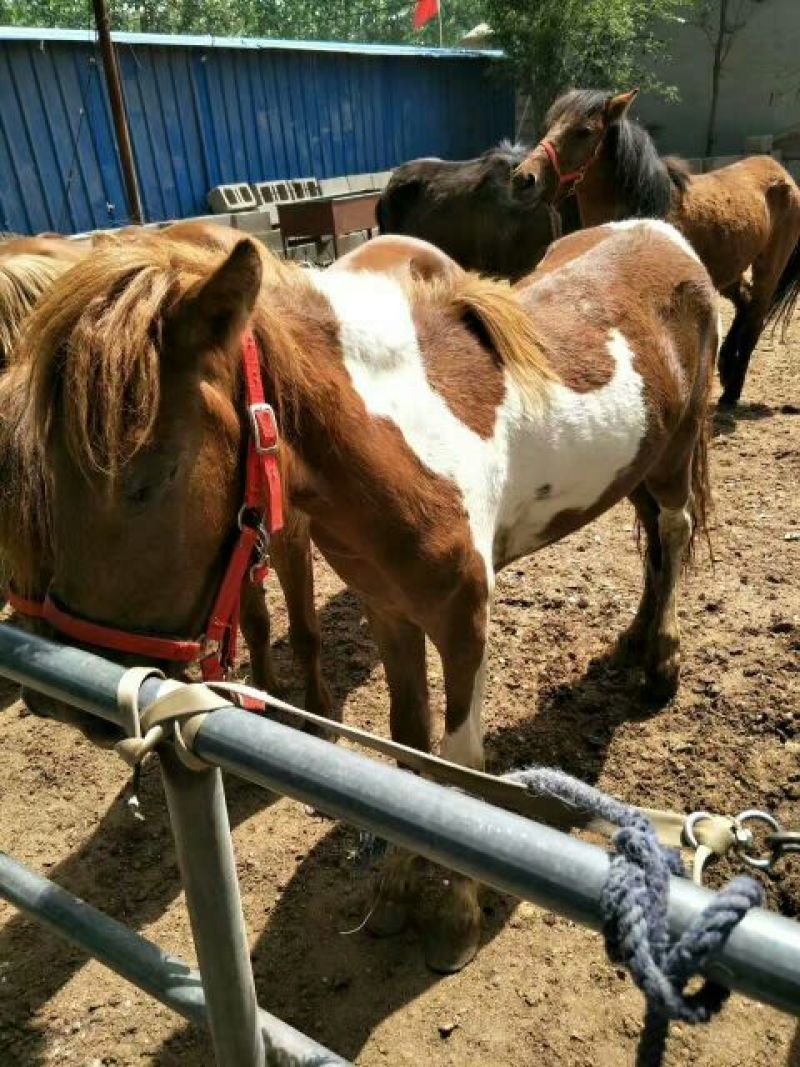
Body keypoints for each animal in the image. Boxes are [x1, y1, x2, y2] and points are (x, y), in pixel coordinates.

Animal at [14, 219, 717, 973]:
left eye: (152, 475)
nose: (64, 696)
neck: (397, 440)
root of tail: (664, 231)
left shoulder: (465, 622)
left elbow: (461, 763)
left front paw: (457, 915)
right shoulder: (390, 611)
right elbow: (411, 752)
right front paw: (398, 889)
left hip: (675, 452)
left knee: (672, 531)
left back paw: (661, 663)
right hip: (640, 462)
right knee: (651, 536)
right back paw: (635, 639)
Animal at [513, 88, 800, 406]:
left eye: (584, 131)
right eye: (549, 125)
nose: (523, 179)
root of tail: (782, 173)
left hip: (769, 269)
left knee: (755, 320)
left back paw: (731, 392)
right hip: (730, 272)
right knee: (745, 304)